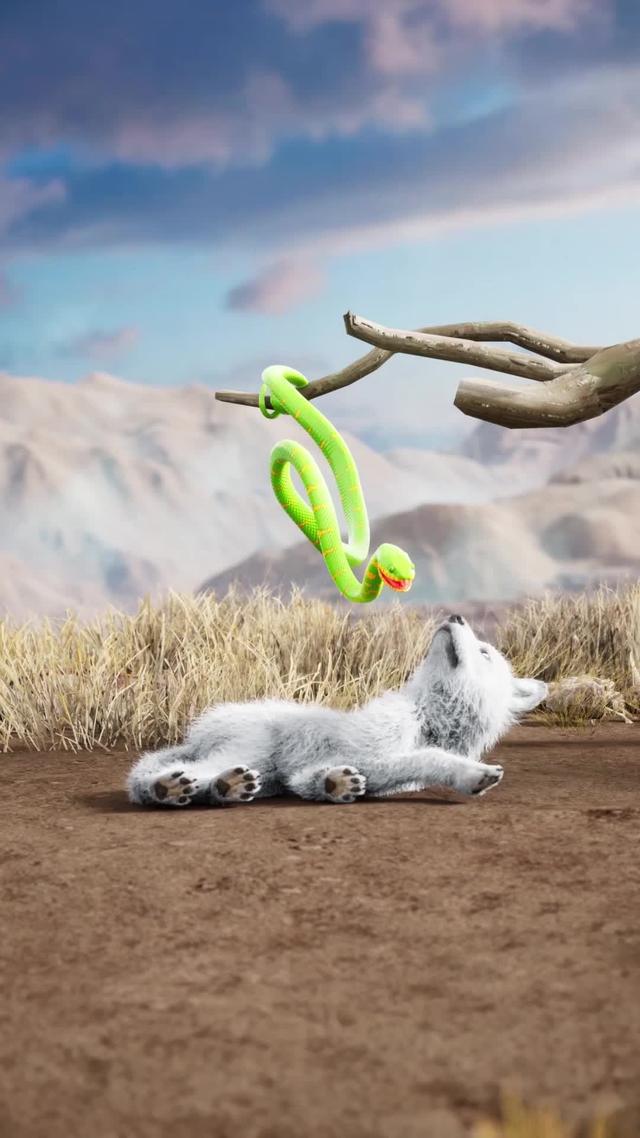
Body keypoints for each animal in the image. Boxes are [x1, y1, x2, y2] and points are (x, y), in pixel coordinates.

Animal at [127, 614, 547, 808]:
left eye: (485, 653)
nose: (456, 616)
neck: (427, 715)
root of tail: (198, 731)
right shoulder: (371, 749)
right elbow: (429, 757)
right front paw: (474, 775)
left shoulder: (370, 764)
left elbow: (314, 780)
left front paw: (336, 784)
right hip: (254, 748)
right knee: (162, 777)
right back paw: (168, 787)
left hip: (264, 769)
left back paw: (224, 787)